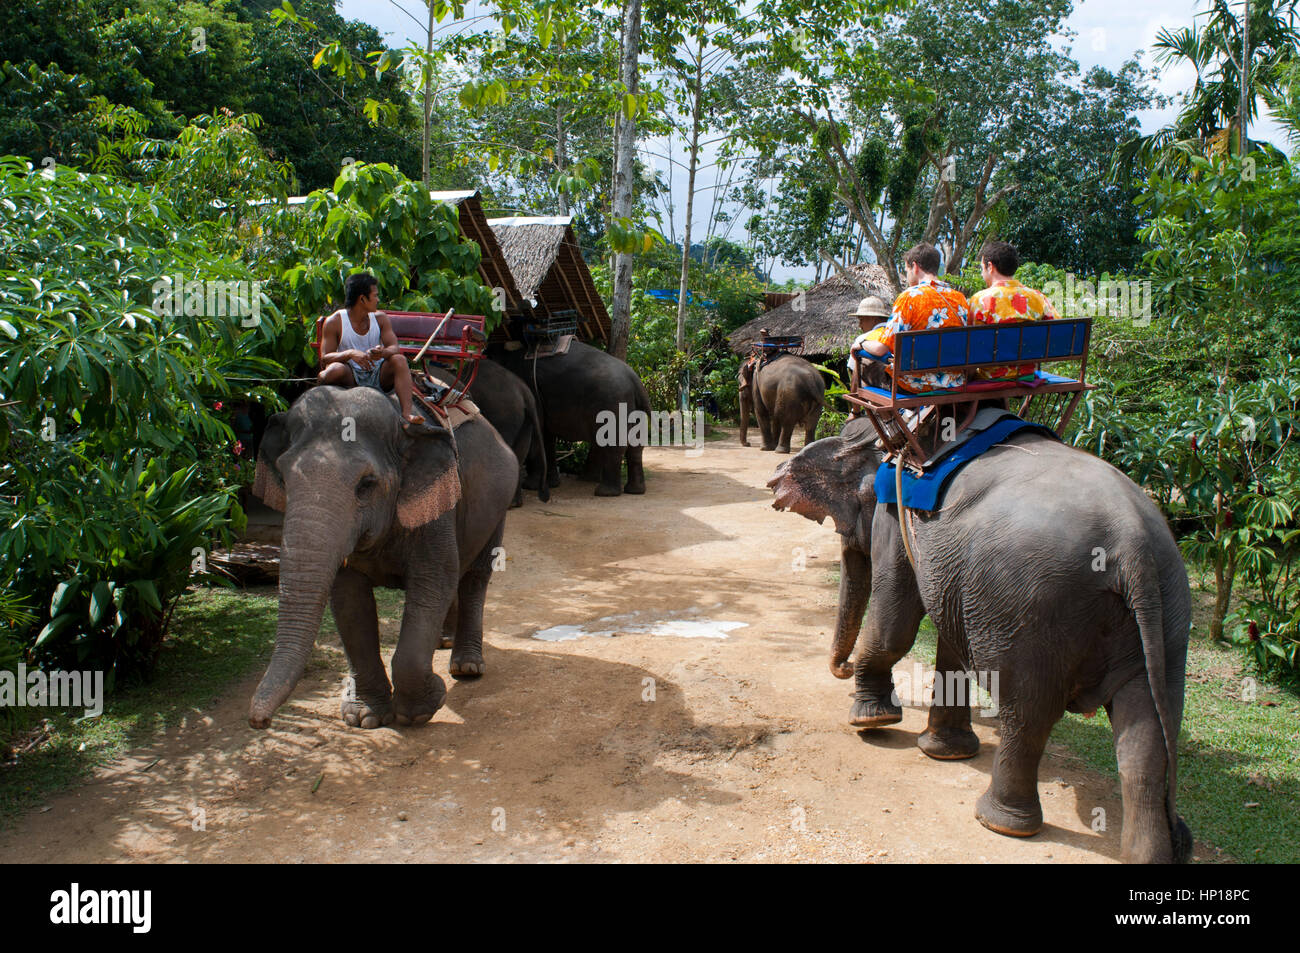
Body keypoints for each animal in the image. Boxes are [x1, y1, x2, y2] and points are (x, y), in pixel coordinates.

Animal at [246, 384, 517, 728]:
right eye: (283, 477)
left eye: (366, 484)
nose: (259, 722)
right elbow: (349, 600)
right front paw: (364, 716)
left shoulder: (435, 509)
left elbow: (433, 581)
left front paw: (422, 708)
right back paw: (443, 641)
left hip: (499, 504)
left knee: (475, 575)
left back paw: (466, 668)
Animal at [488, 335, 650, 499]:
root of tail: (636, 381)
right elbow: (546, 436)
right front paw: (551, 484)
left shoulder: (530, 388)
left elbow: (537, 433)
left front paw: (530, 486)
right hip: (635, 409)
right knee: (636, 448)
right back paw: (634, 490)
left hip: (613, 403)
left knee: (614, 445)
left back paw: (605, 492)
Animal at [764, 416, 1190, 863]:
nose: (842, 669)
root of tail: (1133, 544)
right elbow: (948, 641)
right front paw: (944, 750)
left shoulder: (894, 513)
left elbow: (896, 624)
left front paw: (870, 722)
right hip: (1166, 615)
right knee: (1146, 736)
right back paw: (1146, 855)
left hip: (1035, 609)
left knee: (1027, 712)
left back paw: (999, 822)